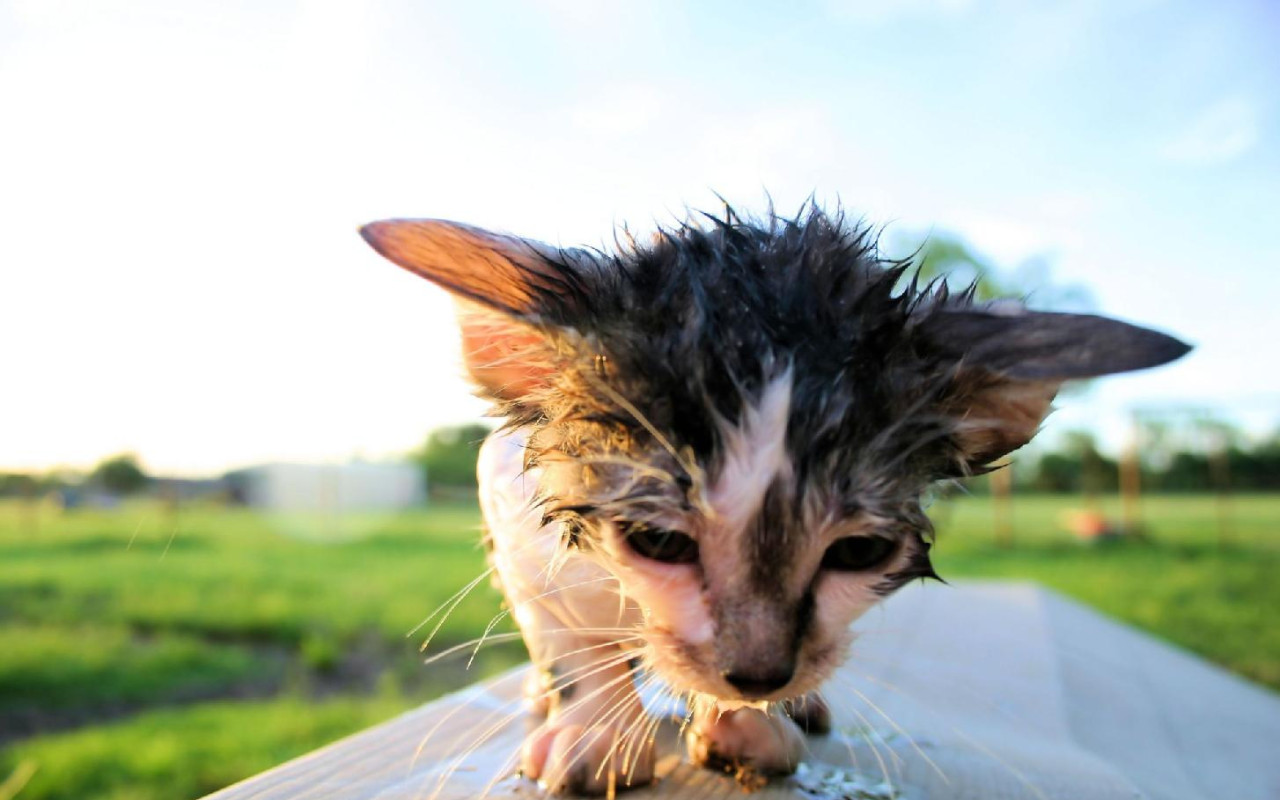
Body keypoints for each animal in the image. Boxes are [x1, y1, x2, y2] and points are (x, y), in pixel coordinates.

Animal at [355, 206, 1182, 793]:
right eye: (659, 543)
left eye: (859, 553)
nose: (758, 676)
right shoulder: (510, 506)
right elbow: (572, 643)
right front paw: (597, 733)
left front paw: (746, 726)